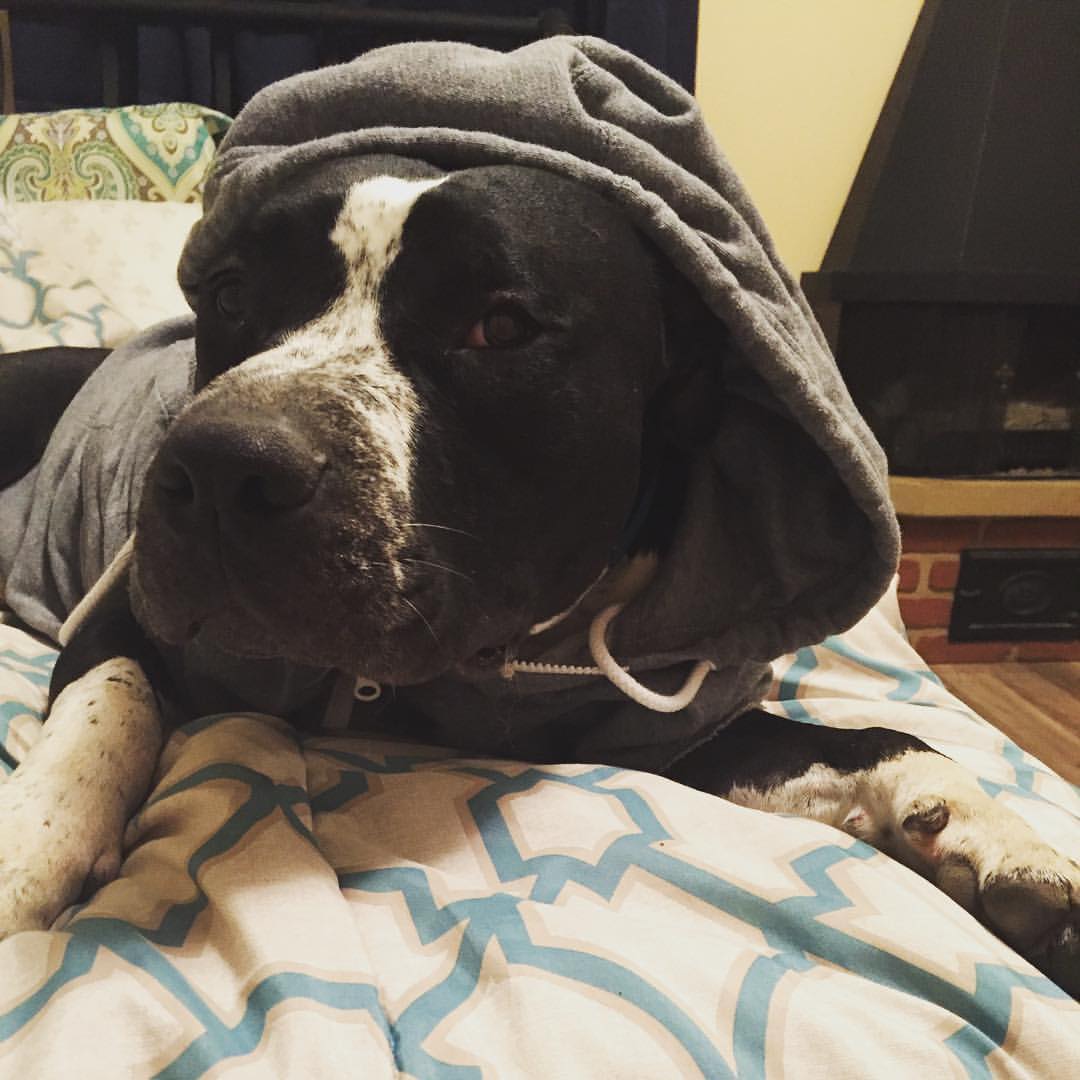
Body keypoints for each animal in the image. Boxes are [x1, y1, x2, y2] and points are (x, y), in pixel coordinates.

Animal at [0, 158, 1076, 995]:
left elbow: (873, 740)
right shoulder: (123, 613)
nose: (220, 467)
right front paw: (33, 847)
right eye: (228, 296)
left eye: (501, 327)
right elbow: (106, 711)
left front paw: (997, 841)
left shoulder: (674, 739)